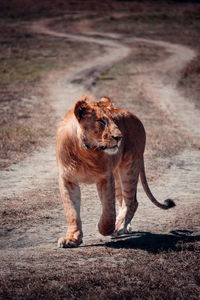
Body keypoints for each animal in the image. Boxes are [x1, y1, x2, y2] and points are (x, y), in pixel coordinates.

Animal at [56, 95, 175, 247]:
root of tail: (135, 116)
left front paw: (106, 228)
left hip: (129, 167)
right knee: (123, 201)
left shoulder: (105, 177)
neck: (85, 151)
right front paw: (72, 238)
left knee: (132, 202)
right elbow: (71, 211)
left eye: (113, 119)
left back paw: (118, 227)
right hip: (117, 173)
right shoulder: (67, 179)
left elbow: (108, 210)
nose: (119, 137)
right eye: (101, 121)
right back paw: (125, 225)